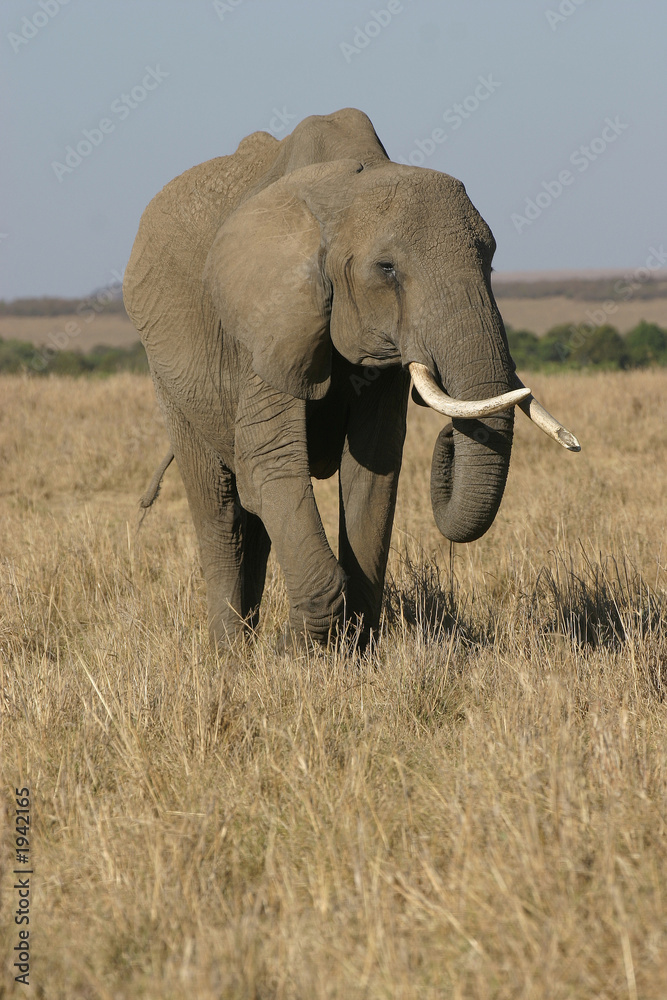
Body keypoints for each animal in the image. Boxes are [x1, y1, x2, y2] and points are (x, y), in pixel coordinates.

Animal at [124, 107, 579, 649]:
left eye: (489, 262)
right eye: (387, 270)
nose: (449, 437)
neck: (345, 187)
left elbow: (373, 470)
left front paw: (353, 649)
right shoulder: (269, 321)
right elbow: (267, 463)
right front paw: (294, 649)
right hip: (168, 373)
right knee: (221, 507)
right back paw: (231, 653)